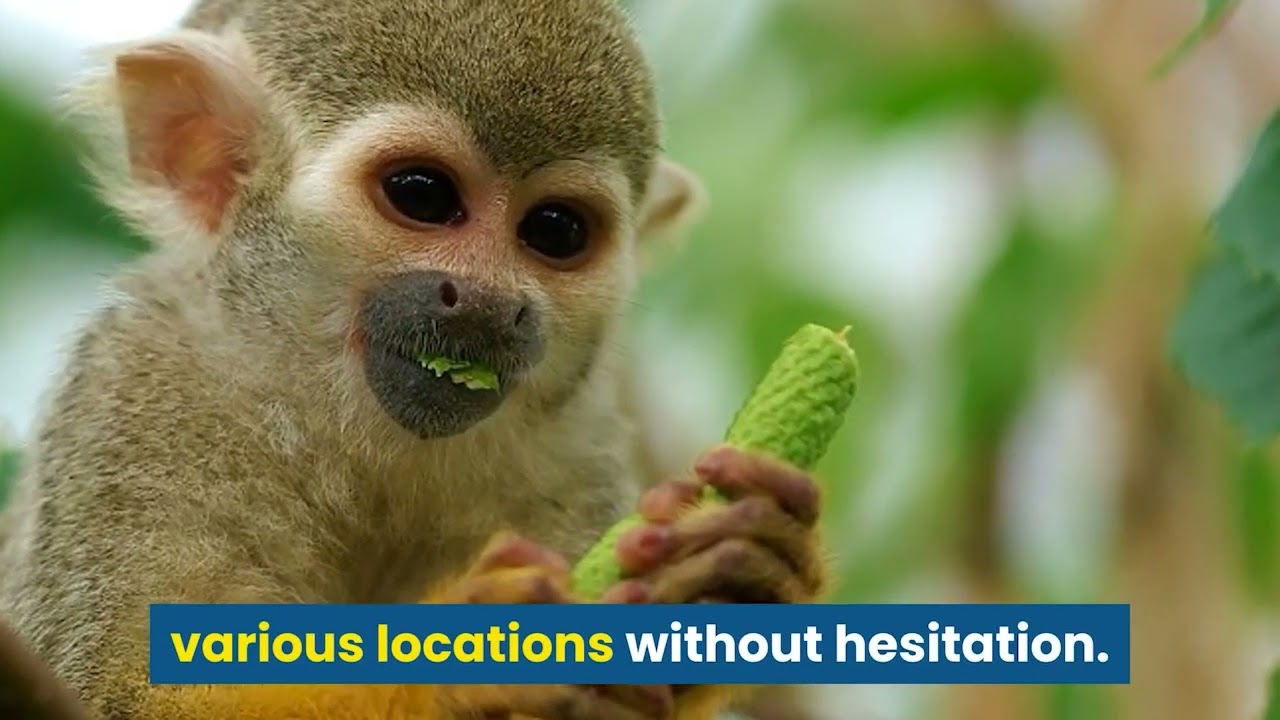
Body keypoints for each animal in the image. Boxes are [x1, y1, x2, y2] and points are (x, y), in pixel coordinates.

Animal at [0, 1, 831, 718]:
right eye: (422, 195)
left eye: (556, 231)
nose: (492, 303)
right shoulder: (135, 390)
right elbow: (125, 693)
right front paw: (467, 661)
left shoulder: (576, 451)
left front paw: (737, 570)